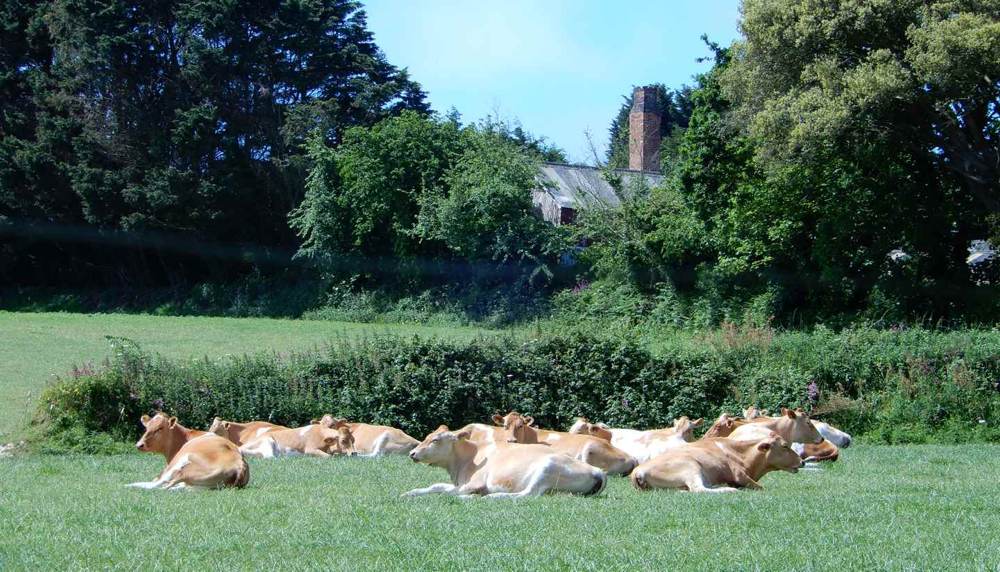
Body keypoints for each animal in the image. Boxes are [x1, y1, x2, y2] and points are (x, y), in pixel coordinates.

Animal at [402, 422, 604, 498]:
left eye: (435, 440)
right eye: (427, 436)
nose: (412, 453)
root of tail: (597, 470)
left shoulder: (473, 484)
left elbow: (449, 492)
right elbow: (436, 486)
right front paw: (409, 493)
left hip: (546, 468)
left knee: (527, 494)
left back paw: (493, 496)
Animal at [632, 434, 804, 492]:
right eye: (785, 446)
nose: (802, 461)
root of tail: (638, 471)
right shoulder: (740, 475)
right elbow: (760, 487)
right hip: (690, 466)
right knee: (698, 489)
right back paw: (728, 490)